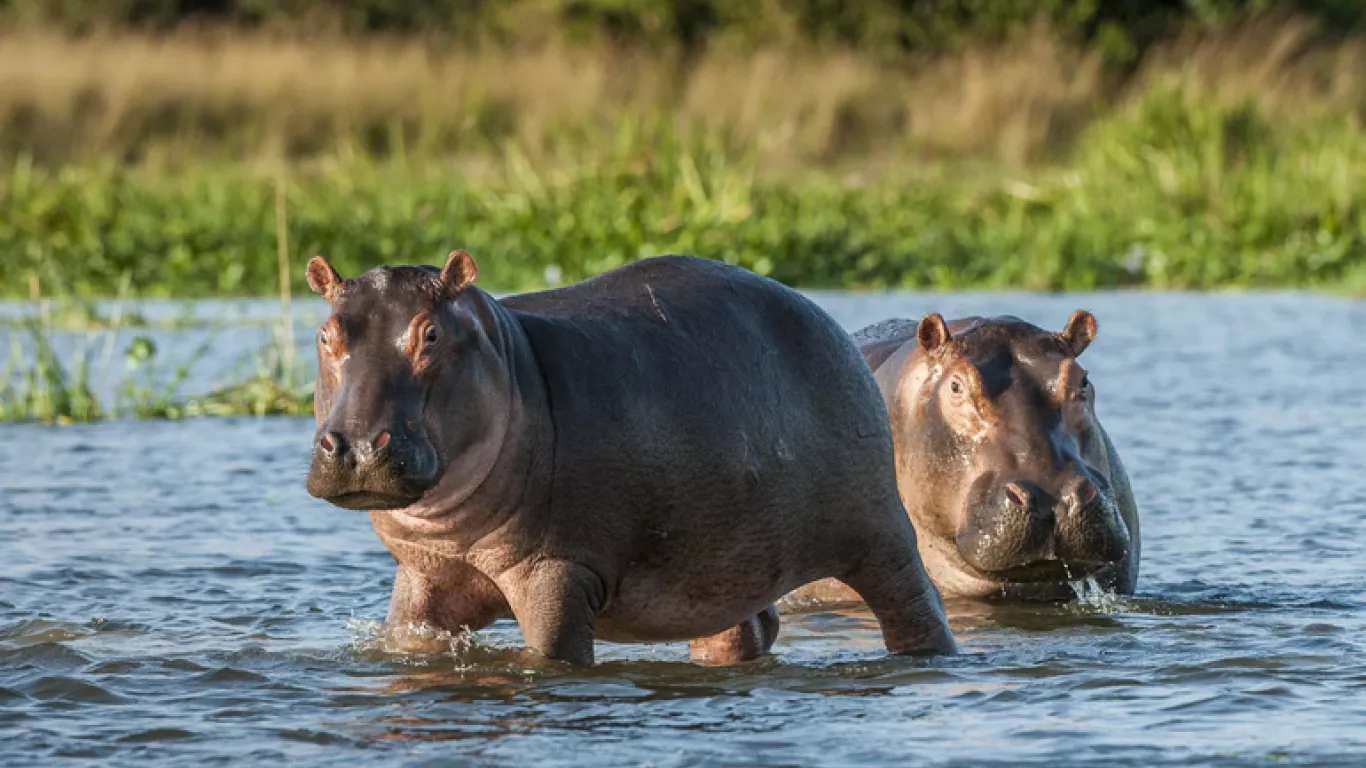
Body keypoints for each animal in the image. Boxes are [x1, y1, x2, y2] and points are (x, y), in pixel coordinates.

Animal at [304, 251, 956, 664]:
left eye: (431, 334)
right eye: (326, 334)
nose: (356, 445)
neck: (508, 358)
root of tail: (828, 321)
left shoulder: (557, 571)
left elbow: (554, 656)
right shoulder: (424, 576)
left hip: (880, 534)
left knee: (915, 605)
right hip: (722, 565)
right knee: (742, 630)